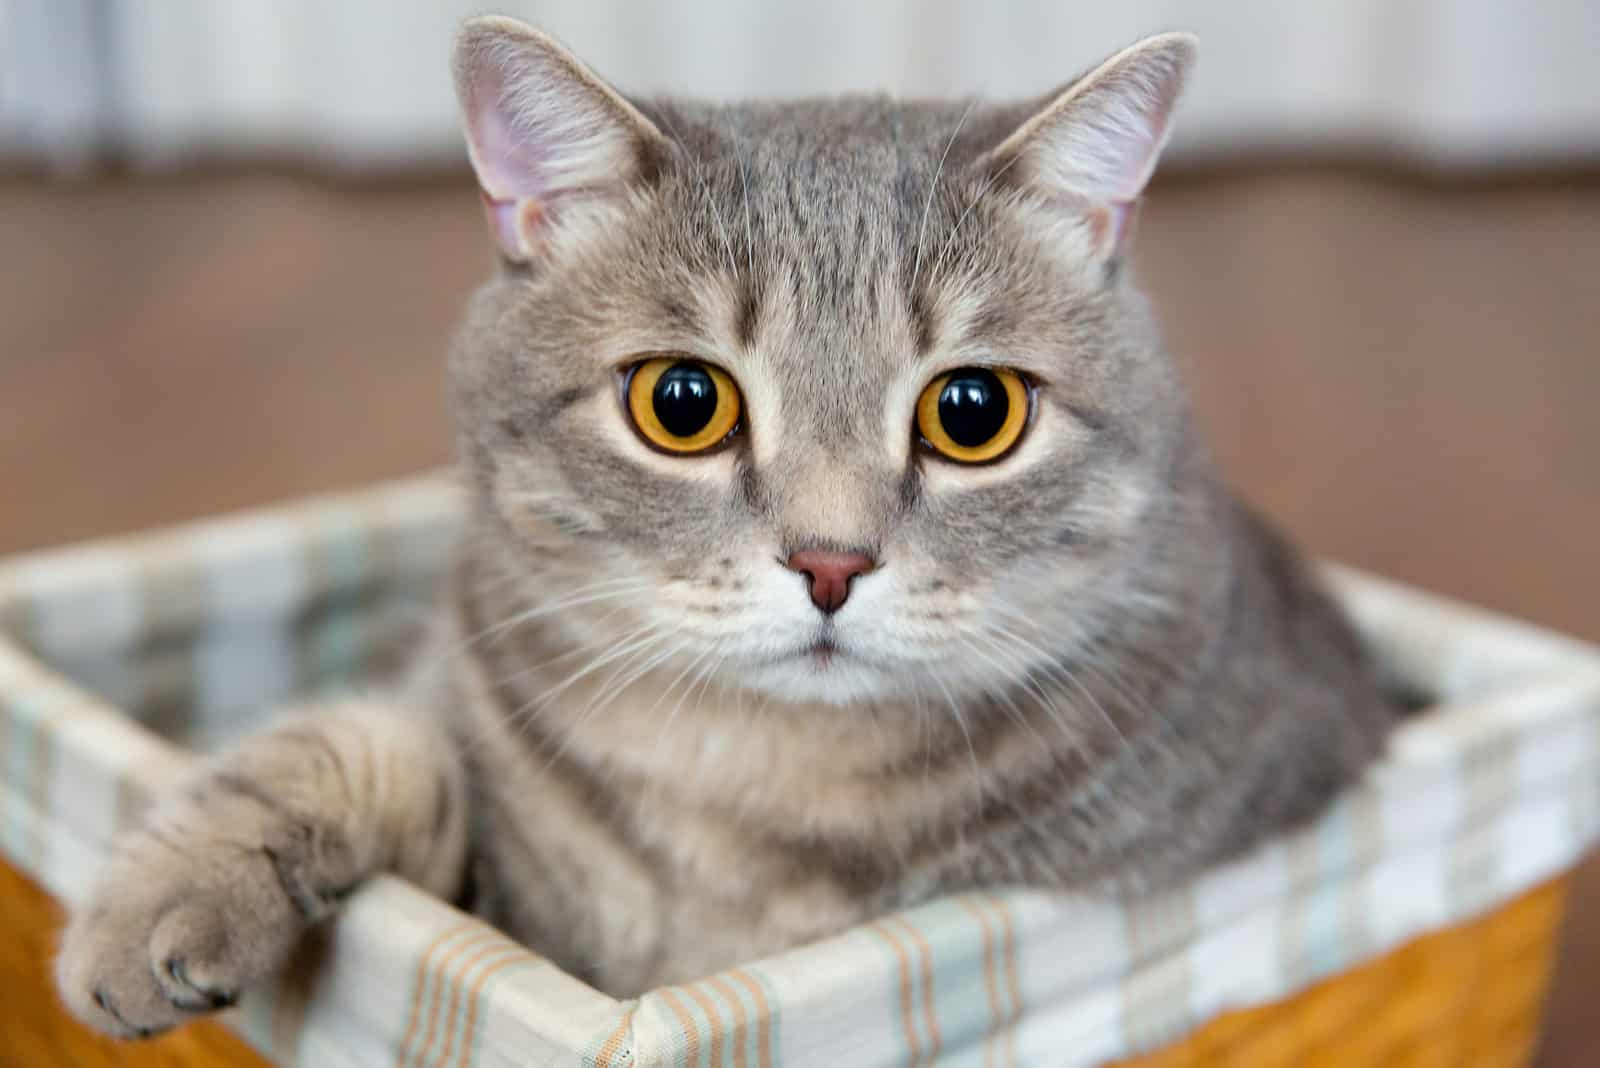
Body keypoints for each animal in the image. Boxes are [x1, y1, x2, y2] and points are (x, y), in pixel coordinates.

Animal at [59, 14, 1401, 1036]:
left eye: (974, 412)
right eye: (683, 403)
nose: (830, 562)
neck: (748, 787)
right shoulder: (498, 884)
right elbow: (349, 745)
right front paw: (163, 901)